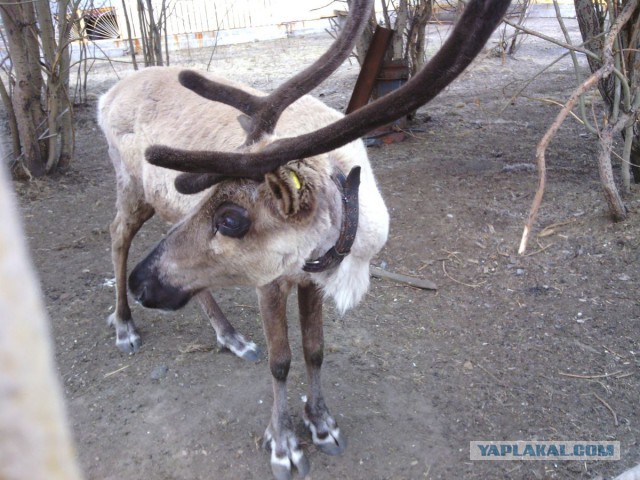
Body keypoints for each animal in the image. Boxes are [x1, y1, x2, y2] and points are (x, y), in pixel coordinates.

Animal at [98, 0, 511, 478]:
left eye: (231, 219)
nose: (141, 282)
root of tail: (106, 95)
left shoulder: (311, 277)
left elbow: (315, 349)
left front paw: (322, 423)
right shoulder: (269, 282)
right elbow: (281, 362)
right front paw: (283, 444)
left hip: (161, 206)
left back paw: (228, 335)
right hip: (130, 185)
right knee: (117, 236)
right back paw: (124, 325)